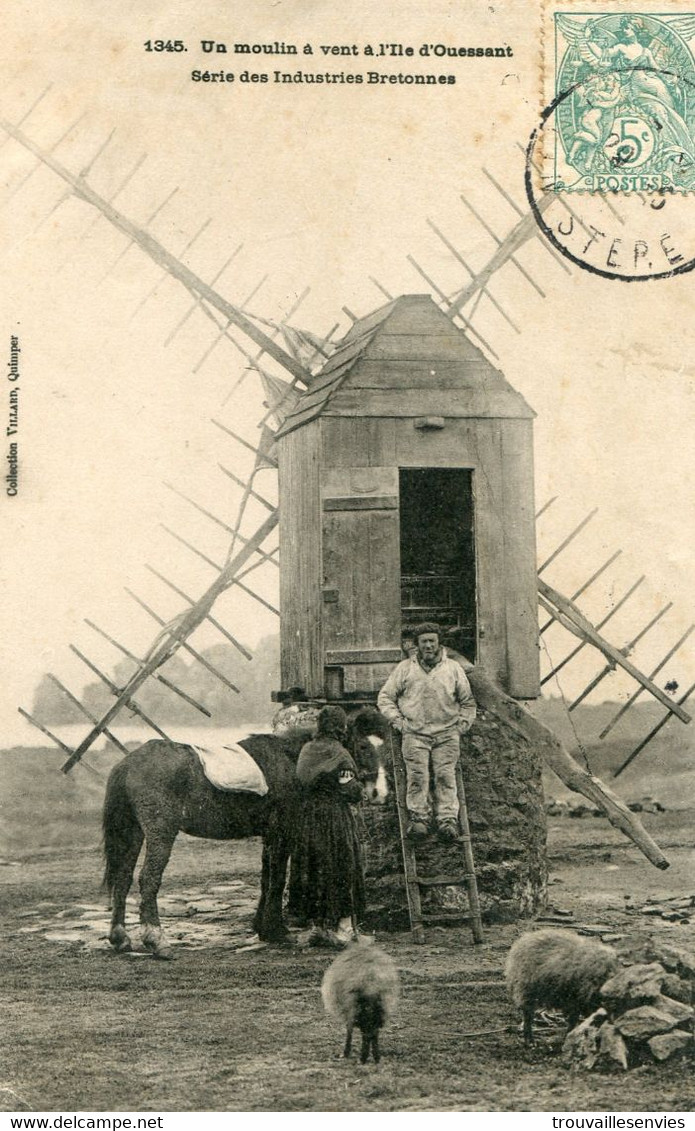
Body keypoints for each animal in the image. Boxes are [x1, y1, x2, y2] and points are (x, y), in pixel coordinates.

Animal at [101, 705, 388, 954]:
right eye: (363, 746)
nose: (378, 792)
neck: (290, 759)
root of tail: (128, 763)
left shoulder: (269, 835)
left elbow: (266, 878)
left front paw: (263, 927)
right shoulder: (281, 832)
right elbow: (277, 879)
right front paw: (276, 930)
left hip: (133, 832)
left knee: (123, 878)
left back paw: (120, 937)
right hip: (161, 833)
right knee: (148, 878)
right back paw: (156, 939)